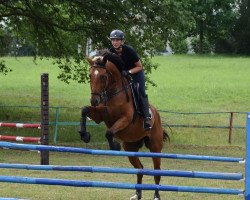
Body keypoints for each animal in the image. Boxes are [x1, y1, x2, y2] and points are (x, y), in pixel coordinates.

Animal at [79, 53, 170, 200]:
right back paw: (137, 194)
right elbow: (84, 110)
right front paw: (84, 135)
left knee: (157, 172)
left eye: (103, 76)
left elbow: (109, 133)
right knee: (140, 169)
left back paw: (156, 195)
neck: (113, 93)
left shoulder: (125, 119)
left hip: (155, 147)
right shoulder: (101, 115)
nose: (94, 100)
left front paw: (114, 146)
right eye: (90, 75)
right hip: (130, 148)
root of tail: (157, 115)